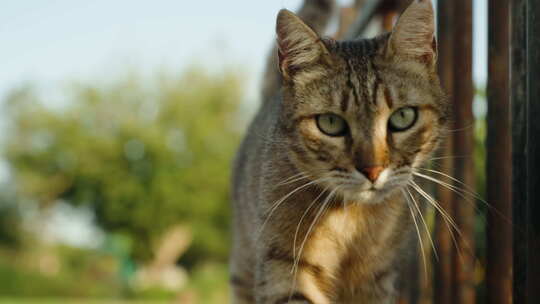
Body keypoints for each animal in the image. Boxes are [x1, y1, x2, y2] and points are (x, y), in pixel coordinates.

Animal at [231, 0, 448, 302]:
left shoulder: (378, 278)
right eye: (331, 123)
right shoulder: (283, 266)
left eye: (403, 117)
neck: (352, 222)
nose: (372, 170)